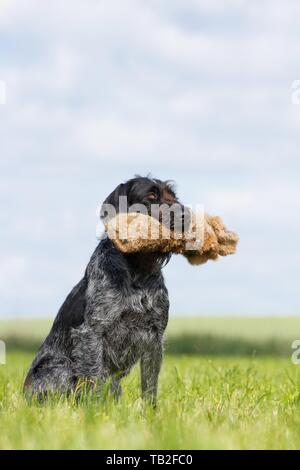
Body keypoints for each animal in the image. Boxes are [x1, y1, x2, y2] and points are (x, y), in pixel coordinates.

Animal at [24, 176, 188, 404]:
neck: (137, 270)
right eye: (151, 195)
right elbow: (94, 376)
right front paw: (94, 409)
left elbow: (150, 385)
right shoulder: (92, 333)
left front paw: (150, 411)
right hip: (61, 368)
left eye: (174, 196)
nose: (187, 214)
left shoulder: (154, 337)